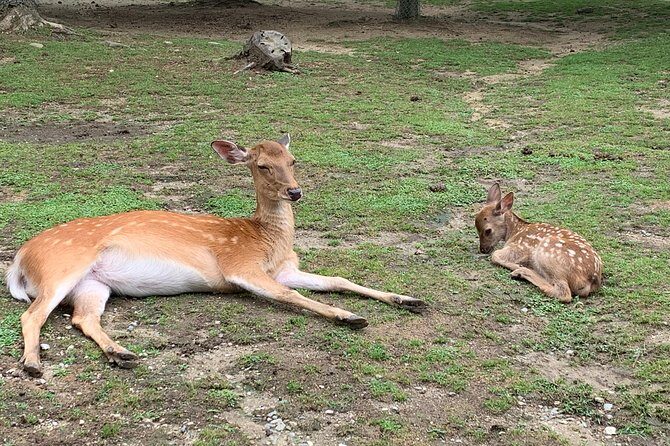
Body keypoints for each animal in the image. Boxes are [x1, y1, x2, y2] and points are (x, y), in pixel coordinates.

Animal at [5, 134, 426, 377]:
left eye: (293, 161)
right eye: (262, 165)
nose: (295, 192)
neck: (265, 241)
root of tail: (20, 258)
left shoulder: (284, 269)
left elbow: (338, 279)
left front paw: (409, 299)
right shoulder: (239, 267)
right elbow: (291, 295)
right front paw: (350, 317)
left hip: (93, 285)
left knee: (81, 319)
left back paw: (121, 353)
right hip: (62, 268)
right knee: (32, 314)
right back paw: (33, 364)